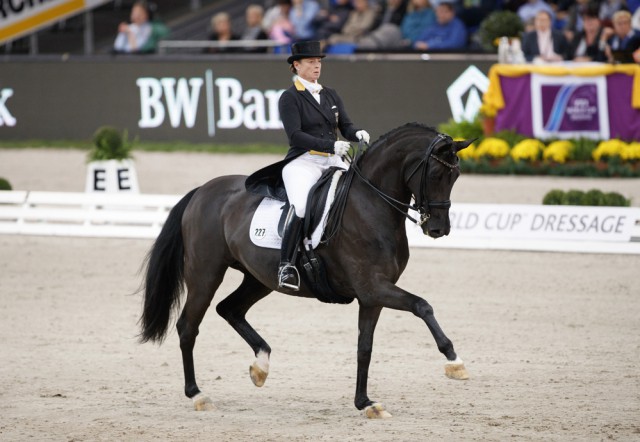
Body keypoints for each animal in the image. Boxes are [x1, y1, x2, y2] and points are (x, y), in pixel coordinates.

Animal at [140, 123, 470, 418]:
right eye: (436, 174)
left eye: (456, 176)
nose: (438, 229)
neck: (371, 205)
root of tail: (202, 191)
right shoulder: (373, 287)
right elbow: (422, 305)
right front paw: (454, 361)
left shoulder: (372, 296)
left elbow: (365, 348)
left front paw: (366, 403)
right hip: (205, 274)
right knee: (188, 326)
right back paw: (199, 395)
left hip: (259, 278)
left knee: (229, 309)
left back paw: (260, 367)